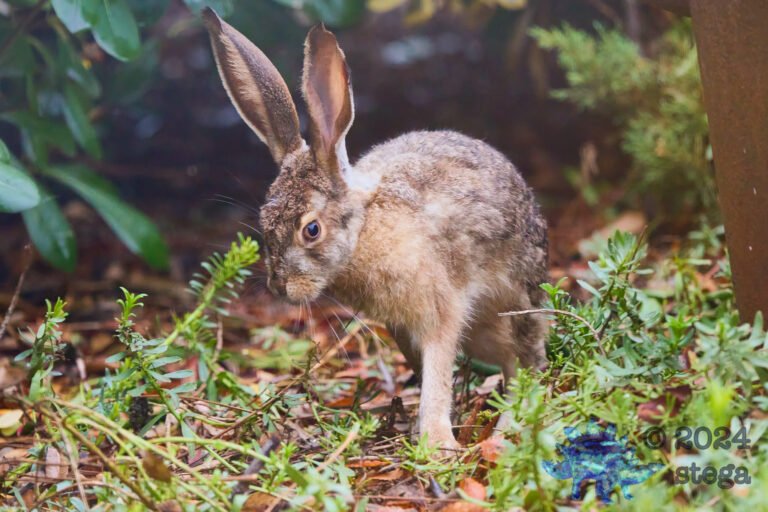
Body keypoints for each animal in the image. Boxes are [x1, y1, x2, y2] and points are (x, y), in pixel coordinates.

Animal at [203, 8, 548, 451]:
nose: (279, 288)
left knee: (527, 367)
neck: (365, 228)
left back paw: (504, 432)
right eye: (265, 224)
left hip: (514, 307)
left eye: (311, 230)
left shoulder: (441, 308)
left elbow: (438, 370)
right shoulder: (400, 325)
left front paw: (437, 443)